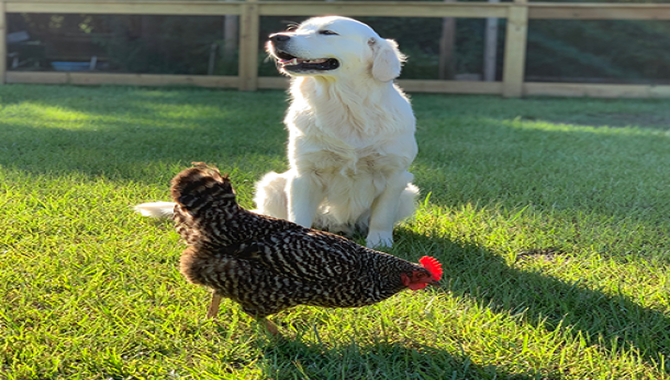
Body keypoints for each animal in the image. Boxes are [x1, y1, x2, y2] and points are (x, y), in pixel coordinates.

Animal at [255, 16, 418, 248]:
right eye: (298, 30)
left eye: (328, 32)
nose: (275, 38)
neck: (345, 107)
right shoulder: (305, 173)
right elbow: (299, 215)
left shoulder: (394, 174)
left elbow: (383, 215)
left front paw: (379, 243)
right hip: (272, 184)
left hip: (408, 192)